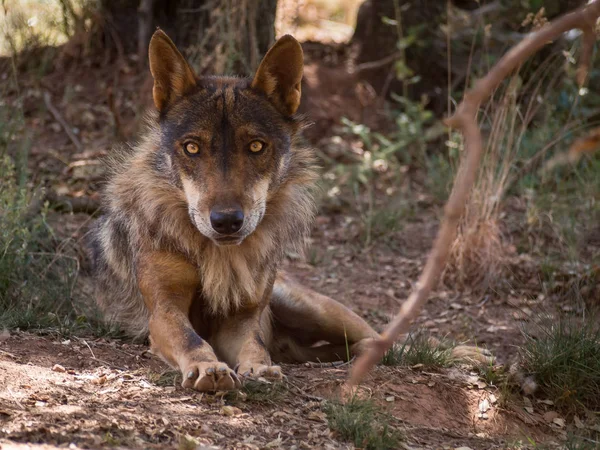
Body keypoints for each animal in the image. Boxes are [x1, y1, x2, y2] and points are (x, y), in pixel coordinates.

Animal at [88, 29, 380, 392]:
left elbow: (254, 344)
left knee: (380, 338)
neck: (216, 256)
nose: (226, 221)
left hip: (307, 306)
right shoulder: (163, 309)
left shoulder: (242, 318)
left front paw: (260, 368)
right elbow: (190, 339)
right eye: (192, 147)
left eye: (256, 146)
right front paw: (207, 367)